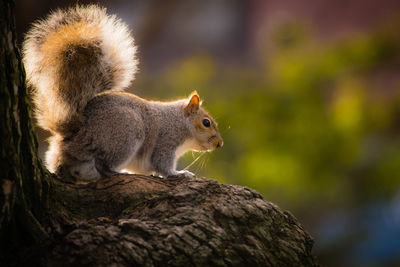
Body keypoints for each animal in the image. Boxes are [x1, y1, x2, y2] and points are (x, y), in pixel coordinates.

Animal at [22, 4, 222, 182]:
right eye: (206, 123)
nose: (219, 144)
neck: (179, 121)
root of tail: (73, 134)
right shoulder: (166, 141)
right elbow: (162, 164)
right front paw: (179, 173)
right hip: (126, 133)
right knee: (103, 164)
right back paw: (116, 172)